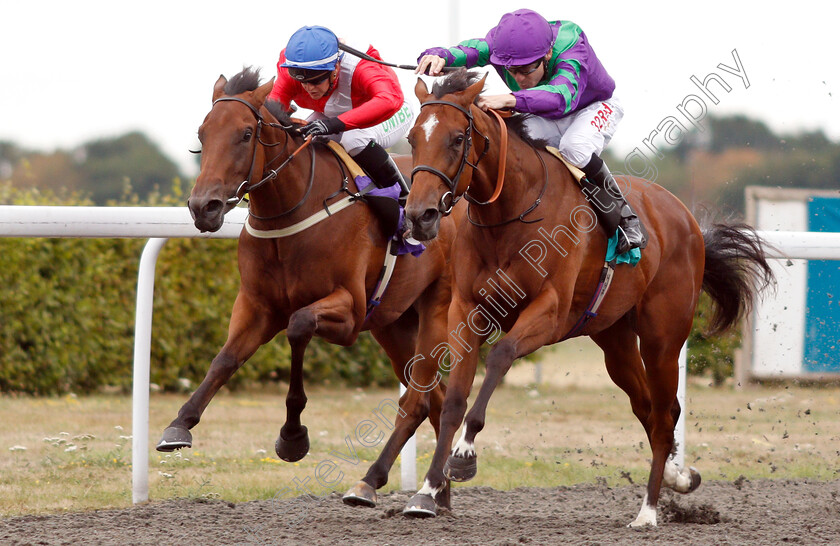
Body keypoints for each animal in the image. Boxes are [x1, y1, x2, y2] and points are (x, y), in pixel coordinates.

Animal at [157, 67, 460, 506]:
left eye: (245, 133)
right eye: (203, 132)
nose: (203, 207)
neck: (294, 211)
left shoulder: (349, 312)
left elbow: (299, 326)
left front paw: (292, 436)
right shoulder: (256, 306)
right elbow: (224, 359)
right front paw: (180, 424)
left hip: (436, 306)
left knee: (424, 395)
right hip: (394, 325)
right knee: (432, 395)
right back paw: (438, 495)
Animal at [402, 70, 776, 524]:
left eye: (457, 139)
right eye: (412, 139)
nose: (419, 216)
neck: (510, 214)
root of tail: (685, 217)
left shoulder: (549, 312)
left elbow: (501, 355)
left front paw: (464, 454)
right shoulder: (466, 310)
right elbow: (453, 398)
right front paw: (427, 490)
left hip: (663, 339)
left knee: (665, 413)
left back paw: (648, 511)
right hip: (615, 341)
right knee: (648, 408)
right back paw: (677, 477)